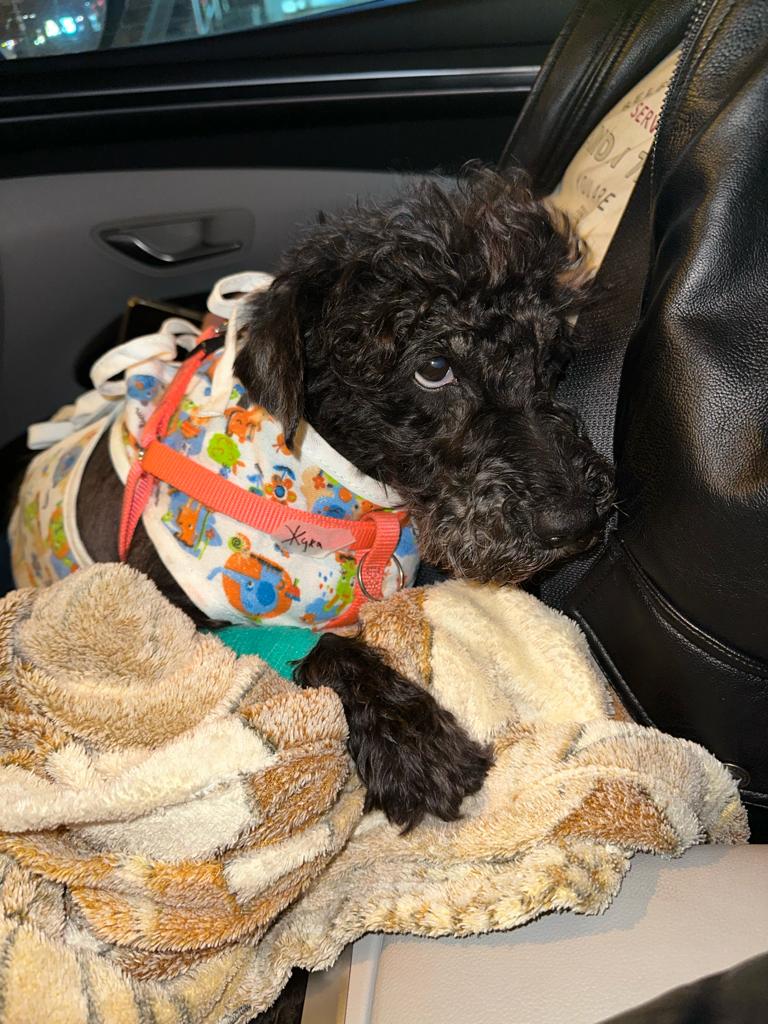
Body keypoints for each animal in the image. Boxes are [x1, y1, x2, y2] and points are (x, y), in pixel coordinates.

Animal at [16, 167, 615, 830]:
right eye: (434, 367)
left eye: (551, 359)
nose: (577, 523)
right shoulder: (176, 629)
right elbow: (314, 644)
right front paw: (413, 741)